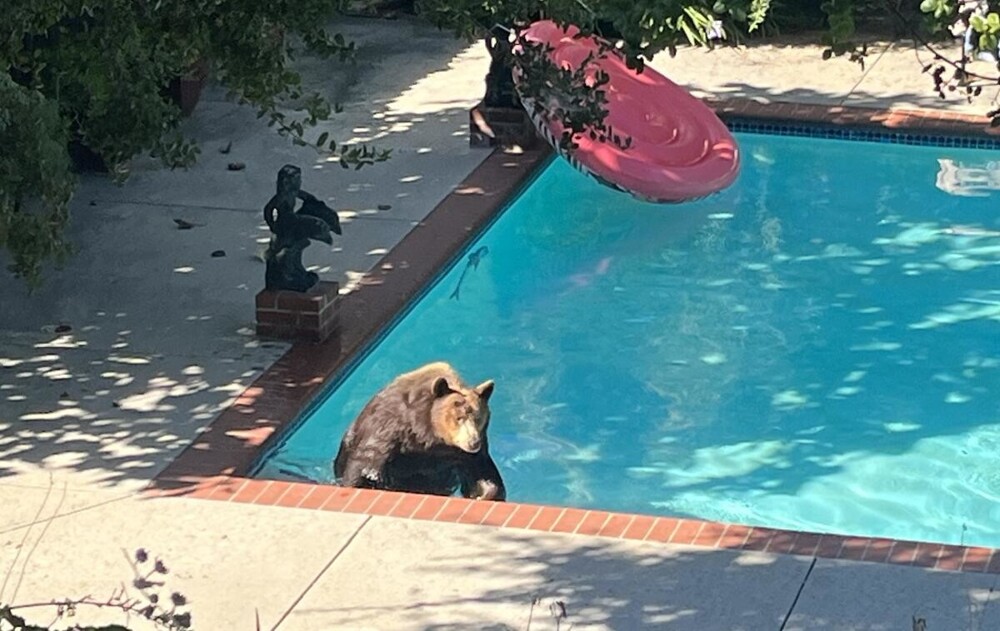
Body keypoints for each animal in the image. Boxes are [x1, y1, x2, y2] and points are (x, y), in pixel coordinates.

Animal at [334, 362, 508, 502]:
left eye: (478, 417)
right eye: (459, 418)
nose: (473, 442)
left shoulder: (460, 454)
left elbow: (482, 471)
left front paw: (484, 493)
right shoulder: (388, 428)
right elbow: (364, 464)